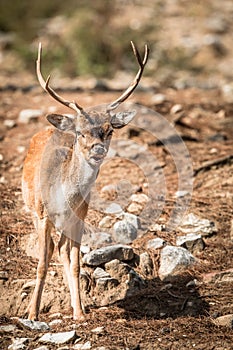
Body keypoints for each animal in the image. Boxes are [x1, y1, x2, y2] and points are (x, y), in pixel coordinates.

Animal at [22, 40, 149, 320]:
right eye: (80, 132)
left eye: (109, 130)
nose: (97, 149)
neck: (63, 197)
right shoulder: (43, 214)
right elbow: (42, 264)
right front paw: (32, 314)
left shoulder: (80, 216)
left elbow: (76, 264)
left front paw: (79, 312)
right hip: (33, 208)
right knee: (53, 249)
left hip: (68, 221)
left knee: (62, 250)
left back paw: (76, 305)